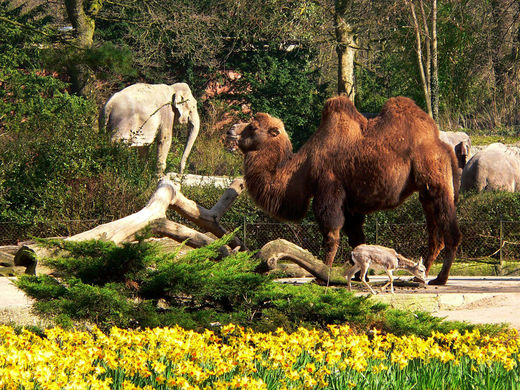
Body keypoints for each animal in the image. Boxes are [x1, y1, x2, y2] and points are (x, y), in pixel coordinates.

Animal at [228, 94, 460, 284]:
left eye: (252, 127)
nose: (231, 129)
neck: (303, 167)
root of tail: (444, 146)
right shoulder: (350, 205)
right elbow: (357, 240)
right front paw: (359, 277)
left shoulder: (329, 190)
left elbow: (331, 234)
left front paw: (323, 276)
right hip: (425, 191)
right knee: (434, 232)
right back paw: (421, 276)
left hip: (436, 176)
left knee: (450, 230)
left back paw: (441, 278)